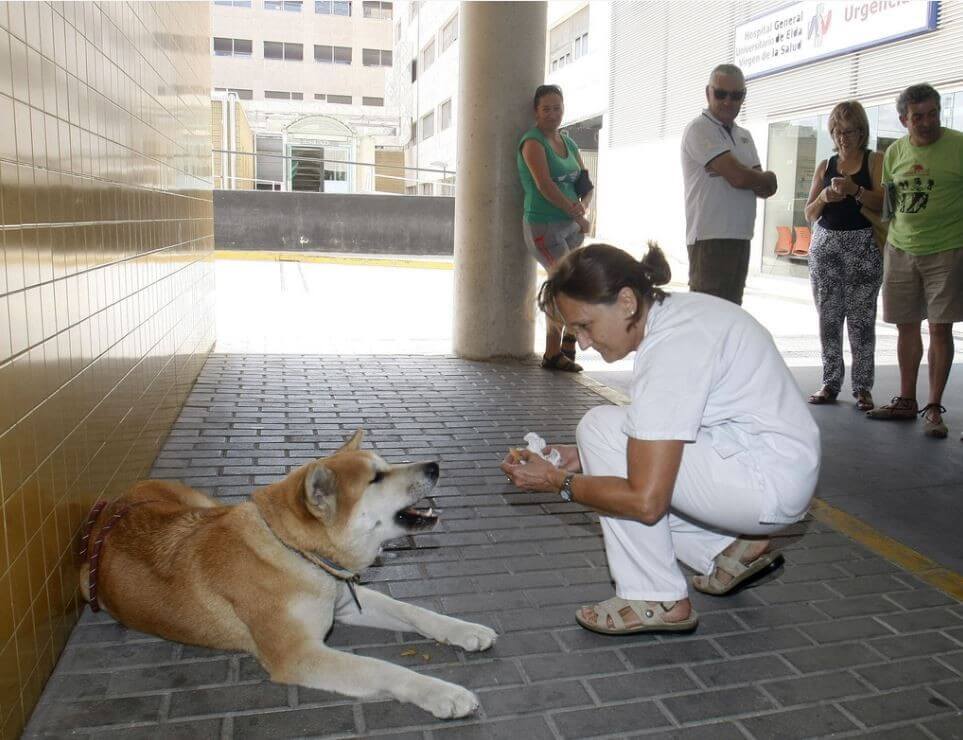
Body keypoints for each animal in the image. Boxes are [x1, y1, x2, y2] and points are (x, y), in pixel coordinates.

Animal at [79, 430, 498, 720]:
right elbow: (384, 668)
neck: (296, 552)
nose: (435, 466)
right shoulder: (300, 655)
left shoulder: (345, 601)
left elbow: (415, 612)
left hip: (206, 504)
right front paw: (442, 692)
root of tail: (111, 507)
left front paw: (465, 630)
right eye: (376, 478)